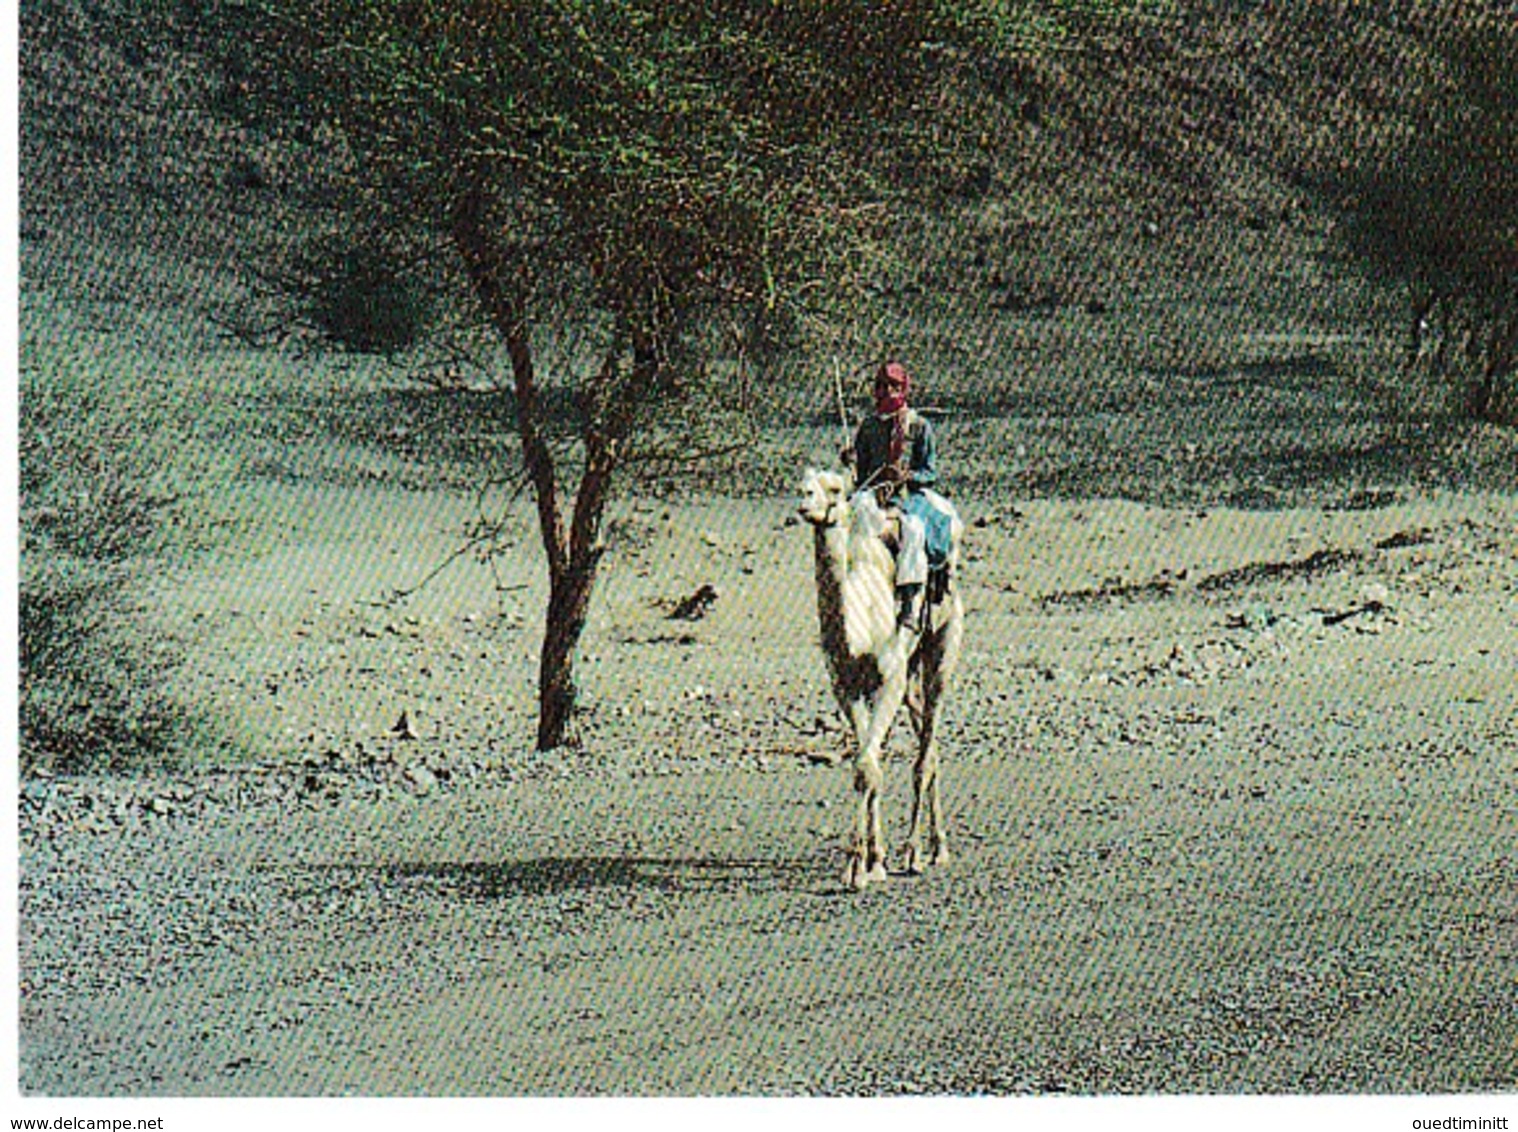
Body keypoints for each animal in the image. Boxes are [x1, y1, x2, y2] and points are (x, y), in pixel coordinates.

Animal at [801, 467, 965, 892]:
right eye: (803, 483)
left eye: (834, 489)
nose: (806, 500)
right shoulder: (848, 688)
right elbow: (869, 765)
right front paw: (873, 860)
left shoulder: (888, 678)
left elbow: (866, 767)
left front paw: (856, 867)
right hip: (909, 678)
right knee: (926, 743)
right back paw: (934, 845)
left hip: (943, 643)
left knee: (926, 751)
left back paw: (919, 853)